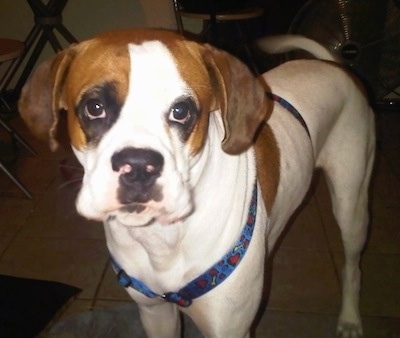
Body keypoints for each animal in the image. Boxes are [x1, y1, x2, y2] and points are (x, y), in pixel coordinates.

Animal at [18, 29, 376, 338]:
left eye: (181, 111)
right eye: (95, 107)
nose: (138, 166)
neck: (163, 239)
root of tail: (333, 65)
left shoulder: (229, 327)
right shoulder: (155, 313)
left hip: (351, 203)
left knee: (353, 266)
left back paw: (350, 319)